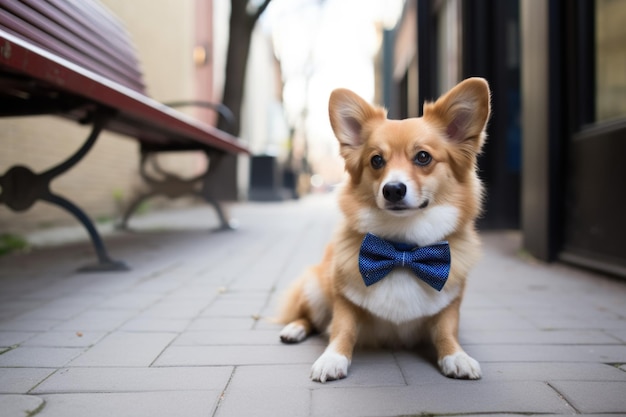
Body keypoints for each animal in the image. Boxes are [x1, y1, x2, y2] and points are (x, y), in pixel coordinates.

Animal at [276, 77, 488, 380]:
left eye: (423, 157)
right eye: (376, 160)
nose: (393, 189)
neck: (401, 249)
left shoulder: (450, 301)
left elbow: (447, 330)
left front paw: (456, 356)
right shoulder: (343, 299)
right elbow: (342, 328)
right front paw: (332, 358)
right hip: (315, 287)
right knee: (309, 317)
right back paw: (294, 329)